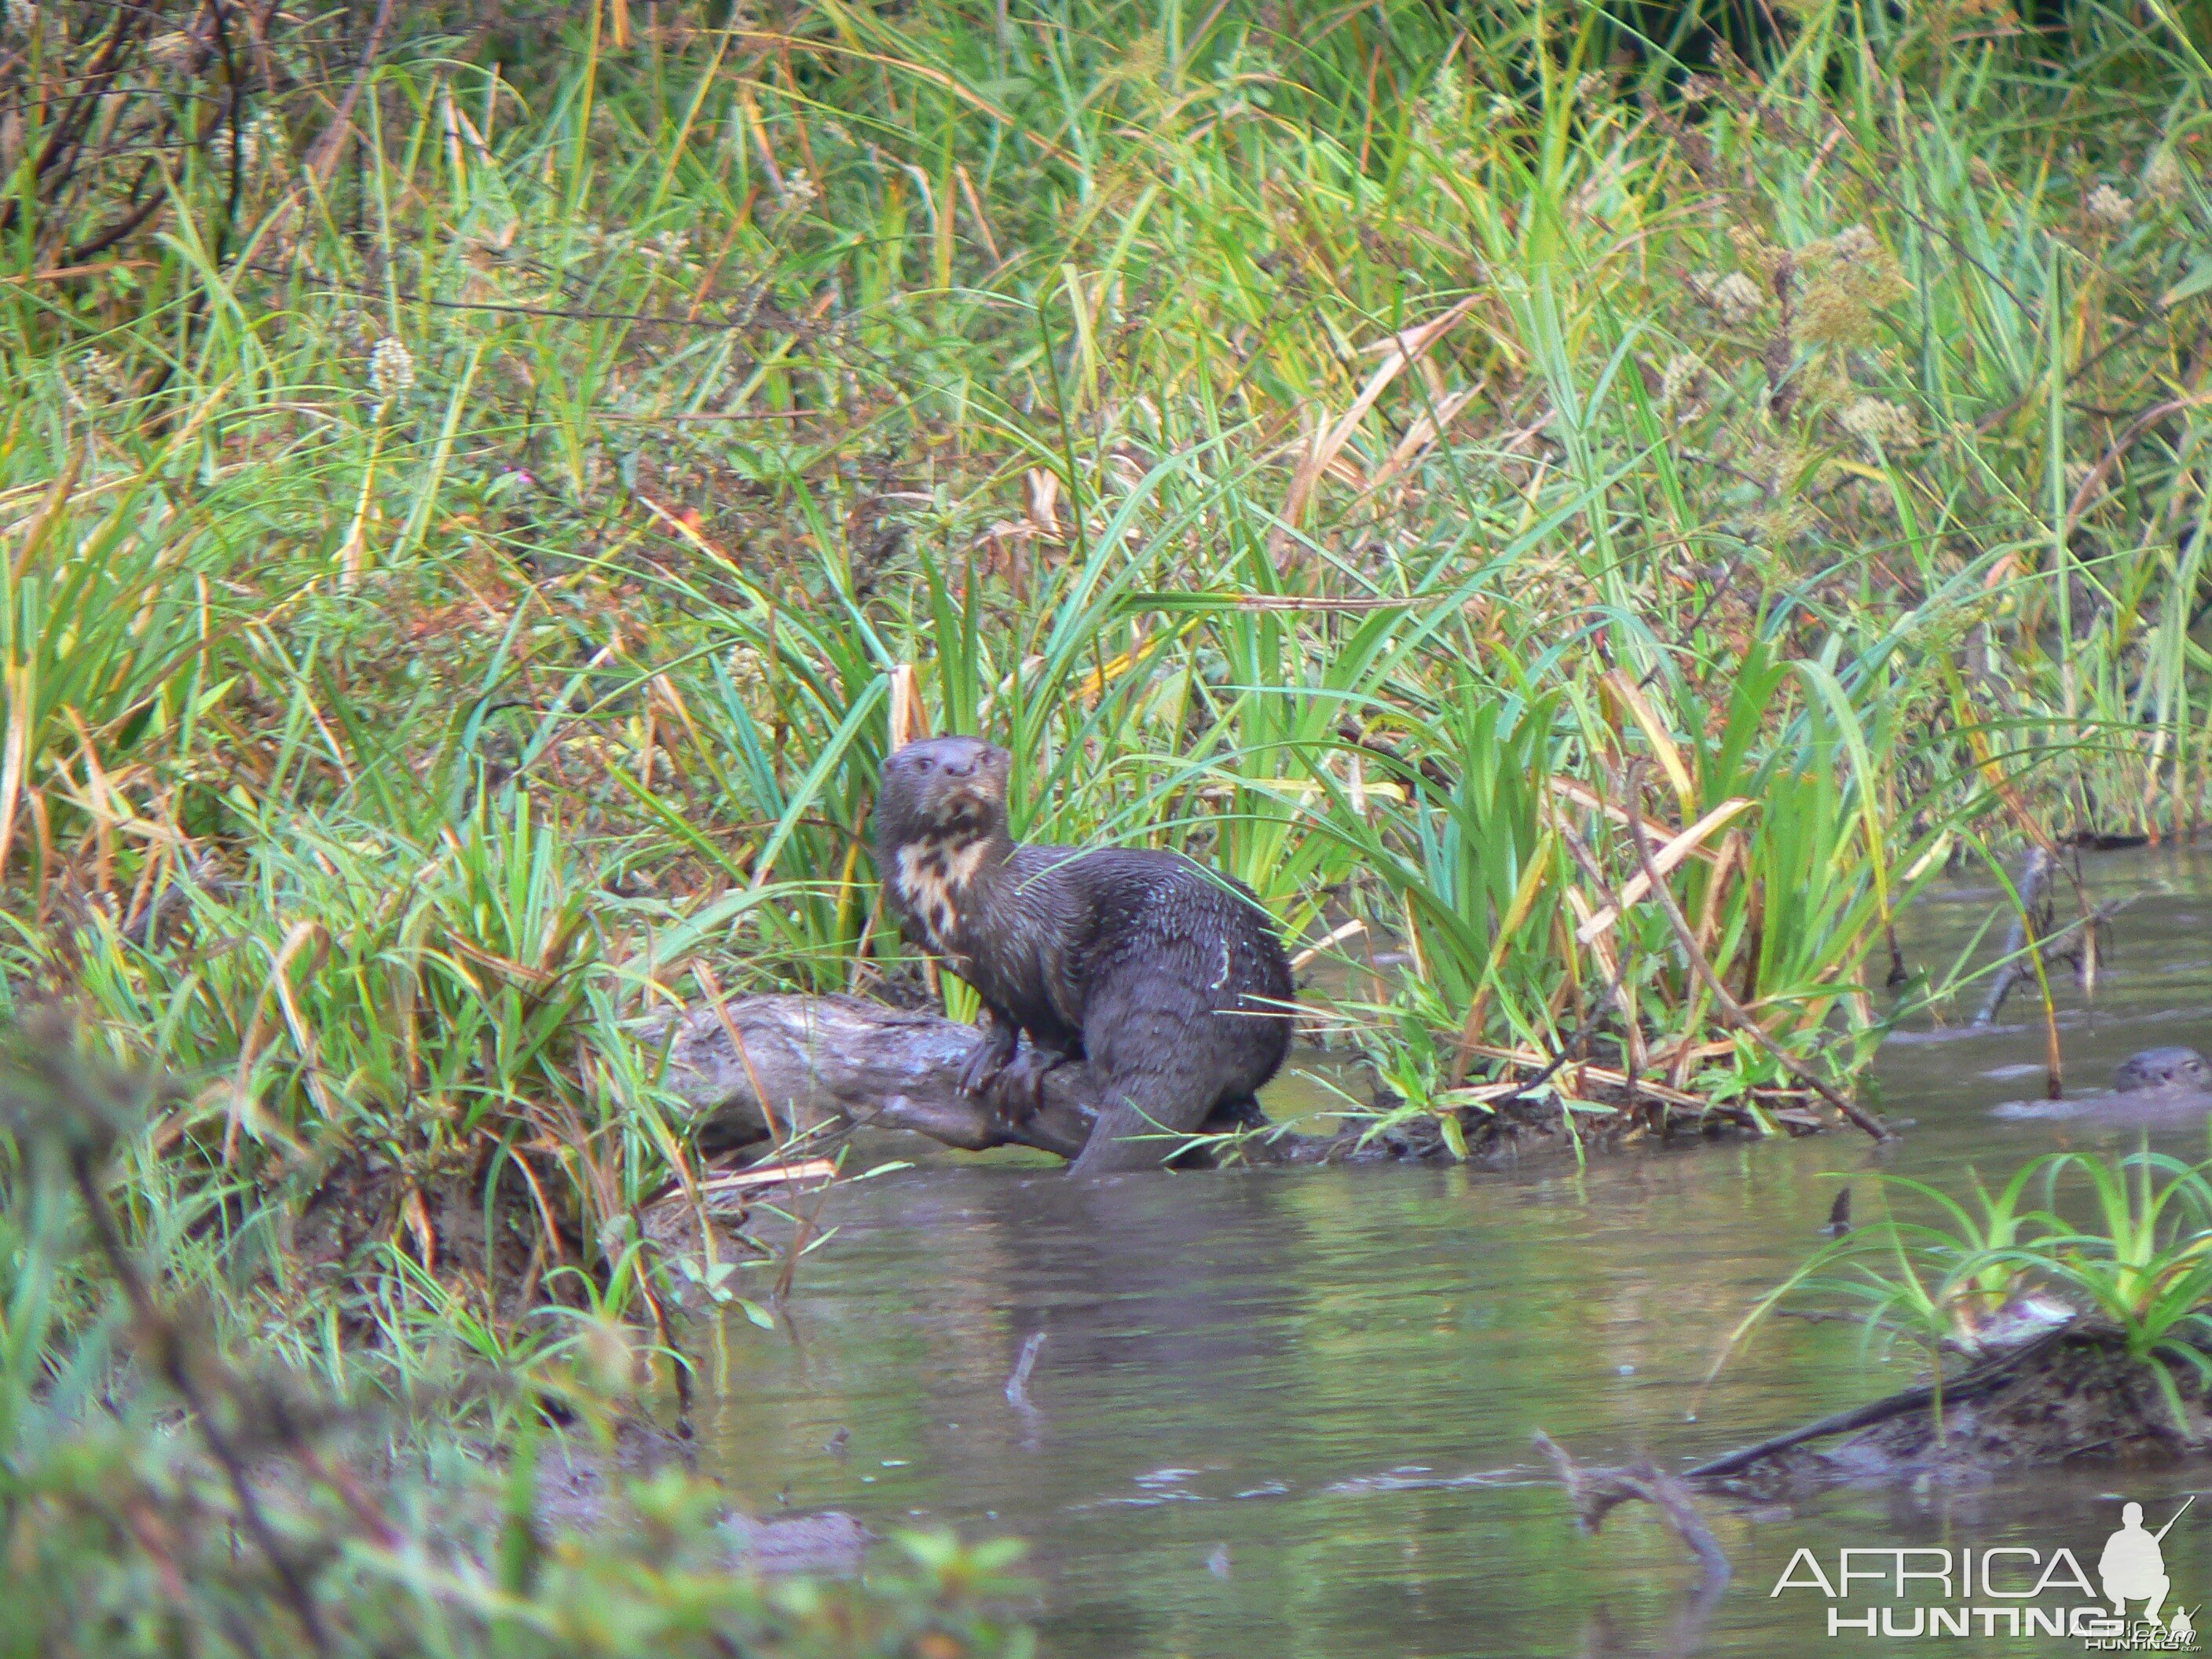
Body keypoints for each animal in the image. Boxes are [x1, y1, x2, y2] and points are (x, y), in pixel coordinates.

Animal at [871, 734, 1291, 1177]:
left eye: (982, 756)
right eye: (925, 763)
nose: (961, 770)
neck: (954, 908)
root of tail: (1196, 988)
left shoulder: (1025, 949)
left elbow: (1044, 1022)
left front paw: (1028, 1066)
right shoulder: (978, 967)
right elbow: (1001, 1016)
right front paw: (984, 1058)